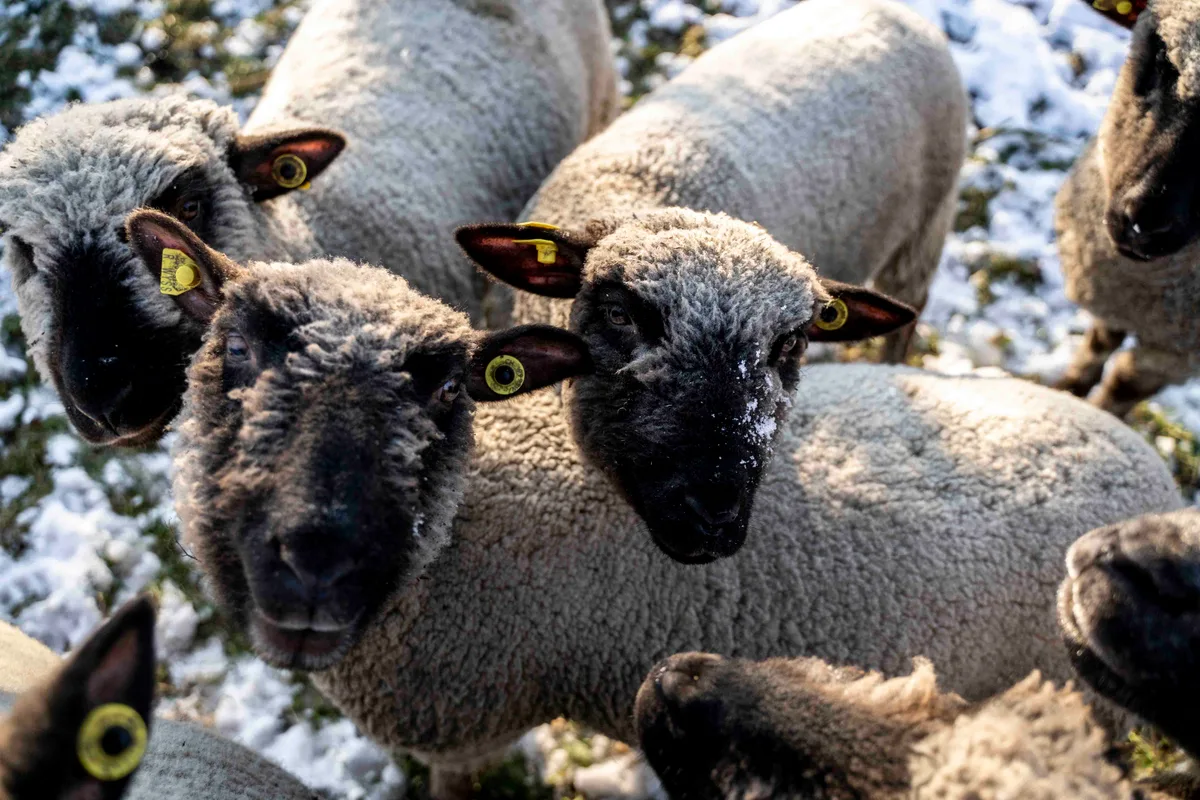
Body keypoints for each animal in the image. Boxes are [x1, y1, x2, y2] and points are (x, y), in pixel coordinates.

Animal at [1054, 0, 1200, 416]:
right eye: (1163, 53)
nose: (1145, 224)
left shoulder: (1176, 354)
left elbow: (1122, 386)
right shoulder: (1112, 296)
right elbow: (1097, 345)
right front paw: (1068, 390)